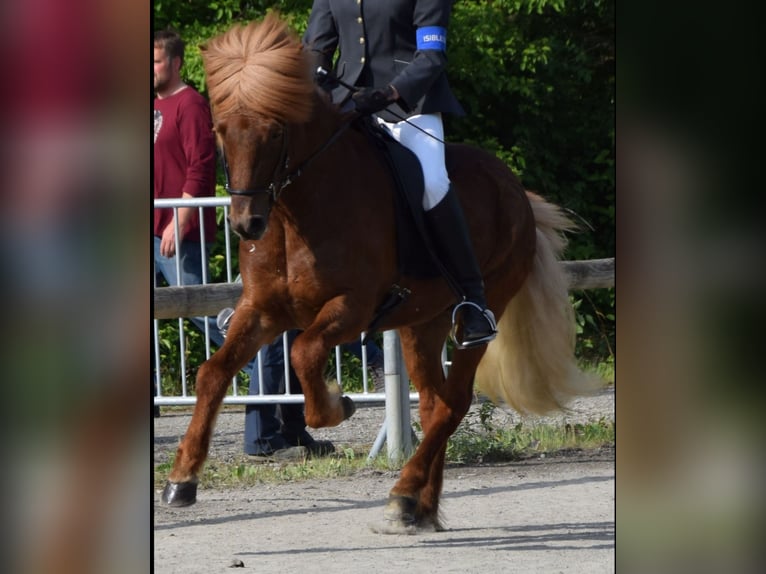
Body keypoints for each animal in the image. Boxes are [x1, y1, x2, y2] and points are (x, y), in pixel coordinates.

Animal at [164, 14, 600, 536]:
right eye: (221, 130)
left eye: (274, 133)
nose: (246, 224)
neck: (296, 212)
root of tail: (516, 189)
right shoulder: (263, 309)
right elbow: (213, 373)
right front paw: (182, 479)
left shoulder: (353, 307)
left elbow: (305, 352)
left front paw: (338, 404)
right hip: (423, 321)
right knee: (434, 403)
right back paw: (419, 506)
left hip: (482, 306)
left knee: (454, 401)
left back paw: (403, 495)